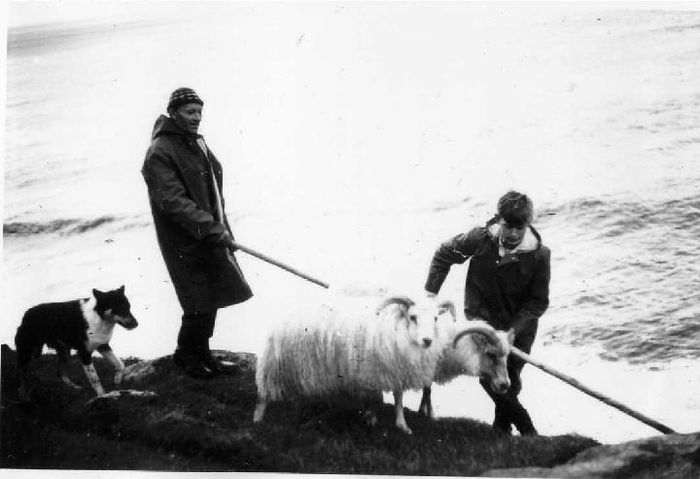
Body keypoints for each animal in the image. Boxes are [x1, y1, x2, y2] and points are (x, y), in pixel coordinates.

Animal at [254, 294, 456, 436]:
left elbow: (398, 399)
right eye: (413, 317)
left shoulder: (394, 370)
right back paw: (258, 417)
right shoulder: (376, 370)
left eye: (436, 318)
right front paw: (374, 418)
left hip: (300, 366)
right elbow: (380, 398)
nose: (428, 340)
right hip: (275, 364)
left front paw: (400, 425)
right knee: (264, 392)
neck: (395, 328)